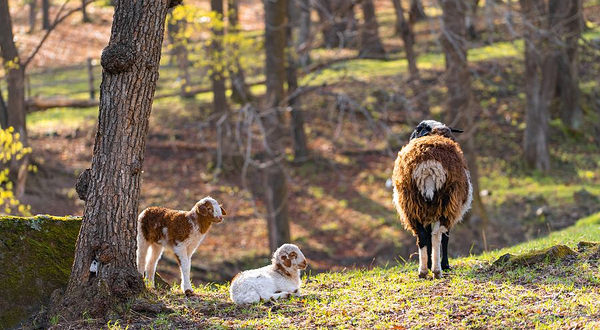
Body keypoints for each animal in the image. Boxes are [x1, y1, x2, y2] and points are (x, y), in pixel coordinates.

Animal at [394, 118, 474, 278]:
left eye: (416, 130)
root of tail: (428, 165)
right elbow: (445, 238)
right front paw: (446, 265)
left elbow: (427, 239)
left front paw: (429, 264)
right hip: (446, 202)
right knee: (437, 235)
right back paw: (438, 270)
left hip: (413, 203)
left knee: (422, 237)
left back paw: (423, 271)